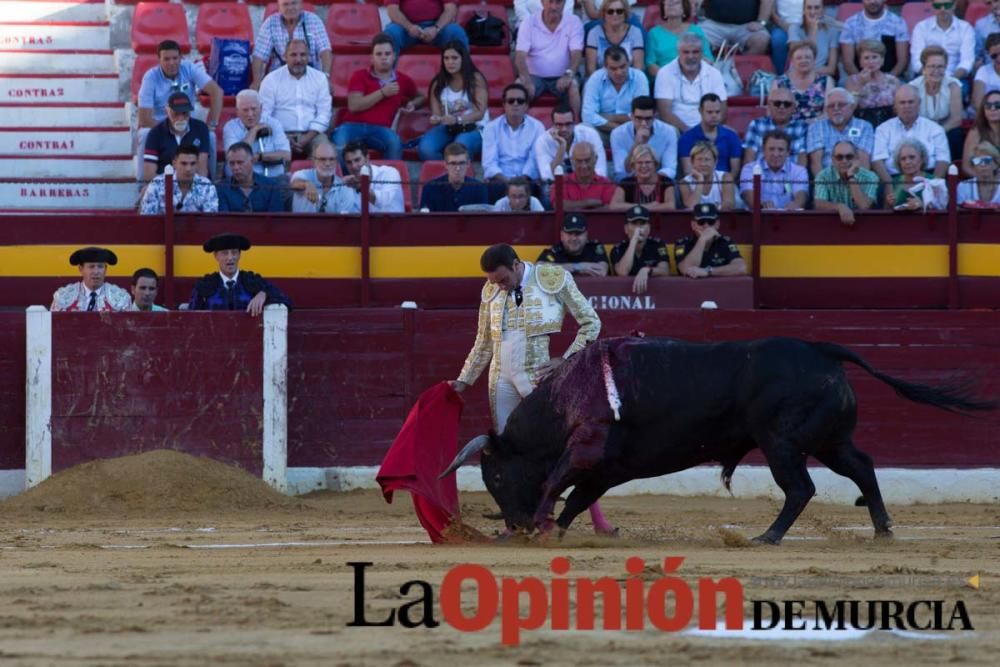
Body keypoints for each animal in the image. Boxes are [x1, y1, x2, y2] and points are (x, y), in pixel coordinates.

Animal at [442, 336, 996, 544]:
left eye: (494, 475)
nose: (511, 524)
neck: (562, 399)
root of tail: (822, 348)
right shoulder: (610, 466)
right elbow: (578, 496)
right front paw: (555, 527)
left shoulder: (588, 448)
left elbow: (557, 480)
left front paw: (541, 522)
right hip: (828, 441)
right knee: (861, 465)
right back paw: (881, 527)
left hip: (781, 443)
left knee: (801, 488)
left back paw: (767, 537)